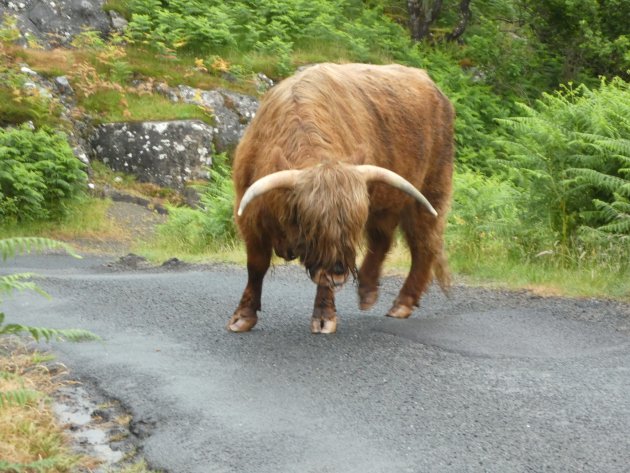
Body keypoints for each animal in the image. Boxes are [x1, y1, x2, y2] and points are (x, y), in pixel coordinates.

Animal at [227, 62, 454, 334]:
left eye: (350, 227)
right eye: (312, 225)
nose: (338, 273)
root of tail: (431, 84)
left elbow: (322, 281)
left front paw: (324, 317)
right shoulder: (250, 216)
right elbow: (256, 265)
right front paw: (242, 317)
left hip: (430, 191)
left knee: (423, 244)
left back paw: (402, 303)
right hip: (387, 200)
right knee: (383, 238)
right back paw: (367, 291)